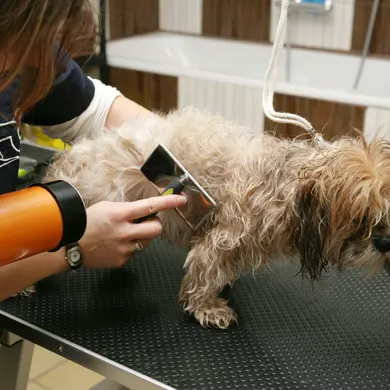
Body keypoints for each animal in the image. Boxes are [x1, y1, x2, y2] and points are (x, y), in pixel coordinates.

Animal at [42, 106, 390, 330]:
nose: (385, 242)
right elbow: (203, 271)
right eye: (360, 217)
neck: (286, 184)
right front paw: (205, 307)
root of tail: (71, 159)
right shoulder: (224, 235)